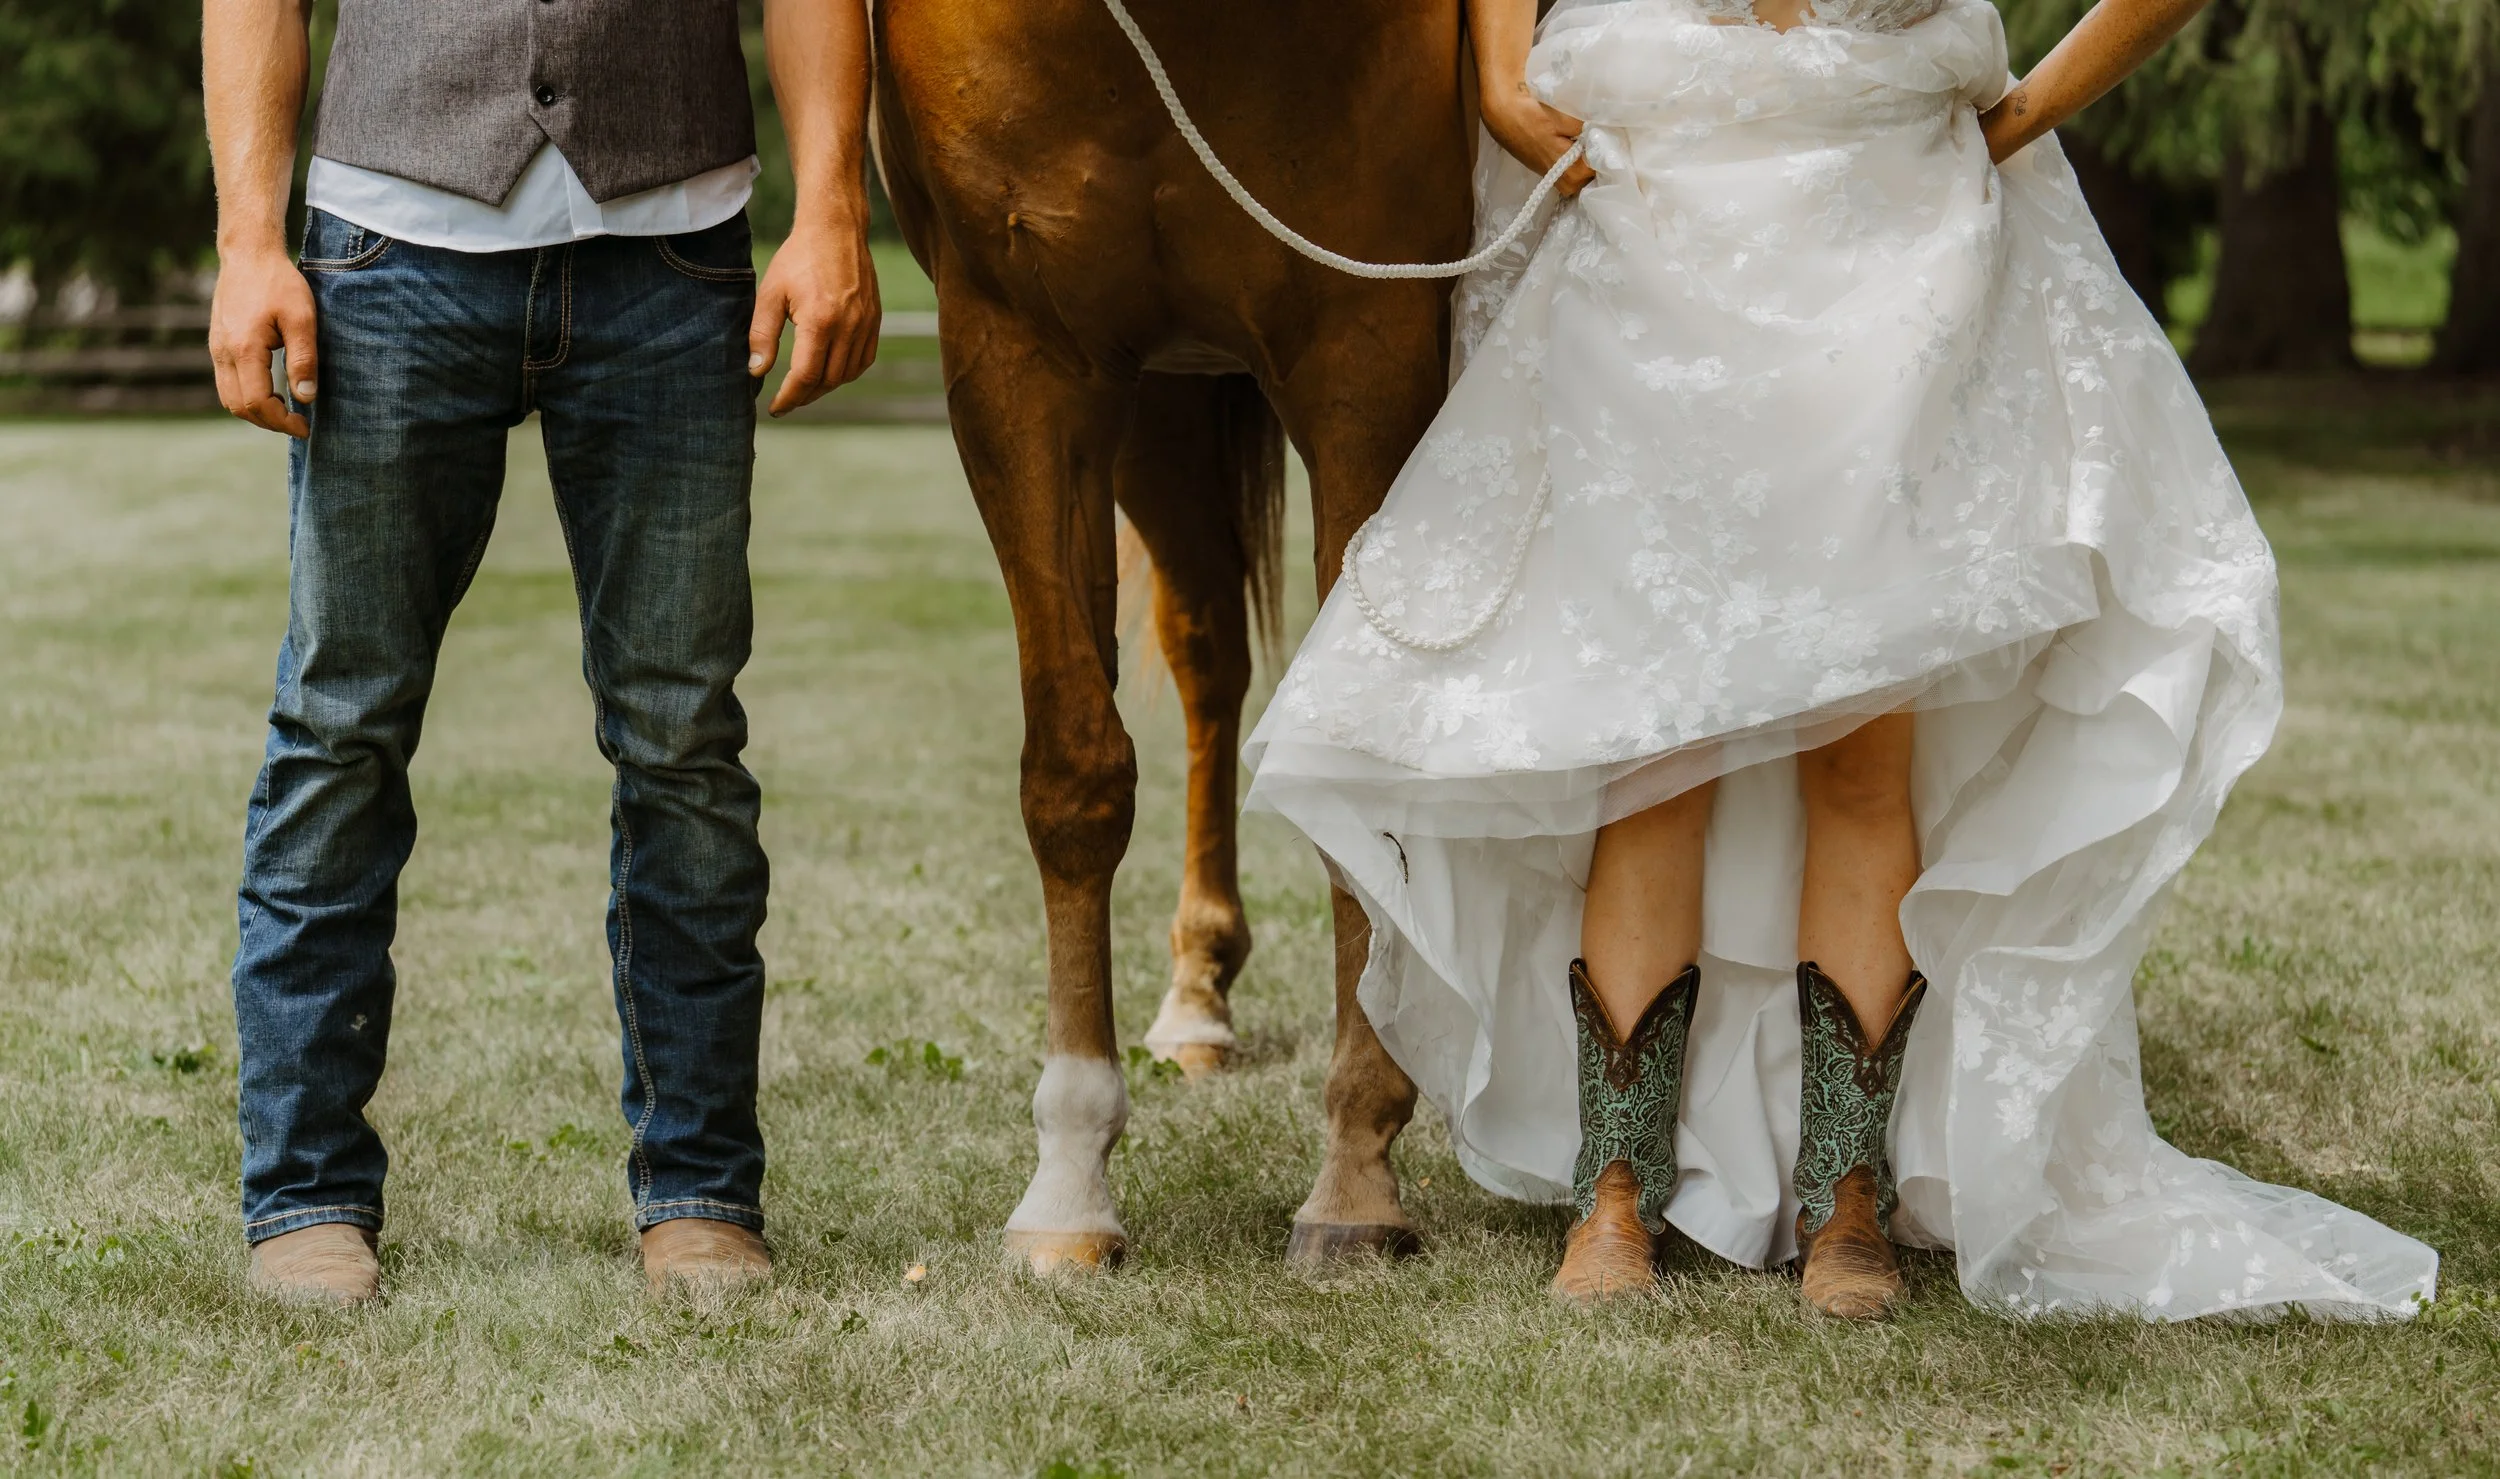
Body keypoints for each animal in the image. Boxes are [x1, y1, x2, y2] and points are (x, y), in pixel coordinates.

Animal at [874, 0, 1479, 1273]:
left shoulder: (1367, 343)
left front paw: (1356, 1174)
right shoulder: (1020, 364)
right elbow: (1074, 770)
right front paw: (1067, 1183)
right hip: (1158, 403)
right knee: (1205, 654)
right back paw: (1196, 992)